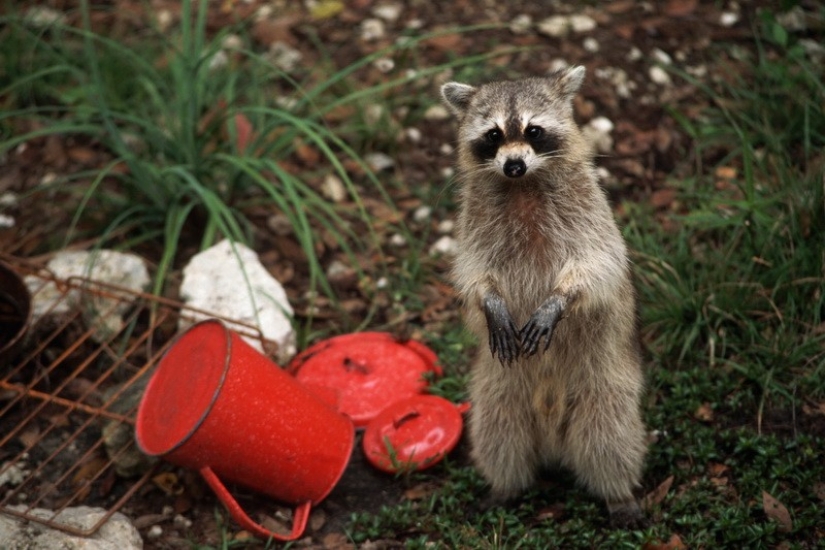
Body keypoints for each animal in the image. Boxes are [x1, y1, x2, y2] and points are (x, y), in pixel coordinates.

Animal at [440, 67, 648, 528]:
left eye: (533, 131)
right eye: (494, 135)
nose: (514, 164)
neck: (523, 186)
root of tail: (553, 441)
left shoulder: (589, 211)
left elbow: (599, 264)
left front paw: (560, 298)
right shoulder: (475, 220)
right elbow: (473, 271)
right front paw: (490, 301)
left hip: (606, 381)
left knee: (608, 436)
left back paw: (617, 492)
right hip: (496, 386)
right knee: (499, 433)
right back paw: (504, 486)